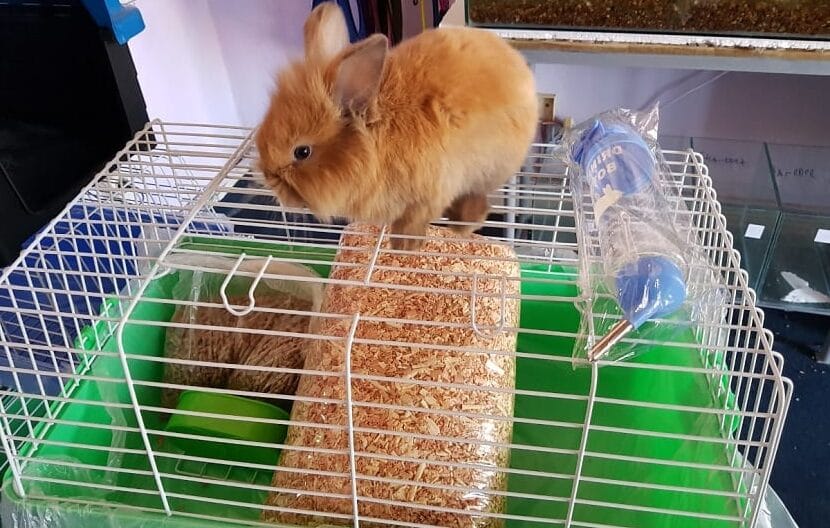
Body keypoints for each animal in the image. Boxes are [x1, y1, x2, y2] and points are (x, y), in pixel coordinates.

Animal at [255, 1, 538, 251]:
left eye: (302, 152)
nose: (271, 182)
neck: (376, 141)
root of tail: (520, 67)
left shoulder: (429, 193)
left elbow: (412, 222)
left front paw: (404, 246)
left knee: (475, 199)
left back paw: (462, 225)